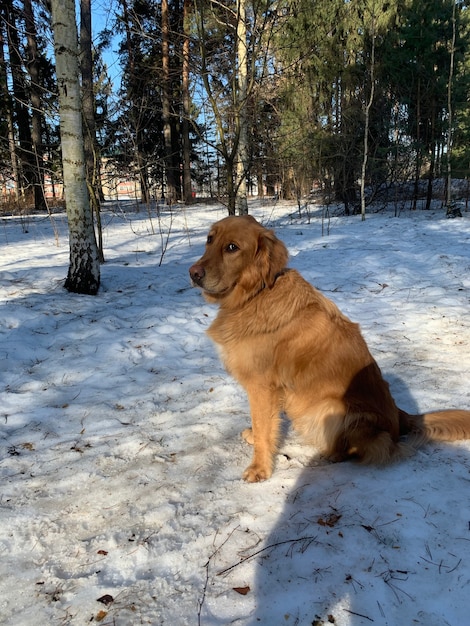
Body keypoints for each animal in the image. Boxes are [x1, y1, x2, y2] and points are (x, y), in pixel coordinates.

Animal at [188, 214, 470, 482]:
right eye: (210, 239)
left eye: (232, 247)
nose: (193, 273)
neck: (255, 295)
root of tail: (400, 417)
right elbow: (263, 427)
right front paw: (255, 438)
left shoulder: (262, 385)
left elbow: (263, 427)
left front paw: (259, 468)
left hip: (333, 409)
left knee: (367, 448)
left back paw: (328, 456)